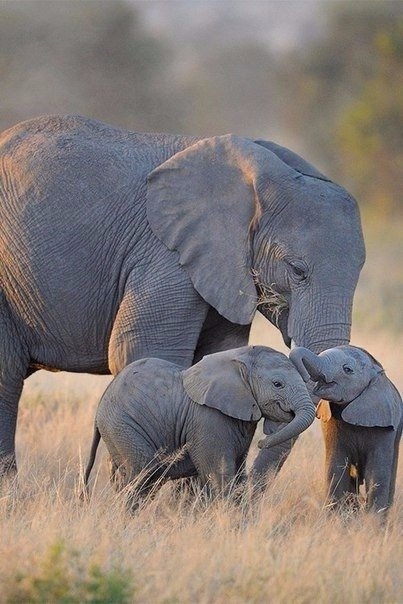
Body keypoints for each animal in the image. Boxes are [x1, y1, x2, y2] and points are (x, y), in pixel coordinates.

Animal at [83, 344, 314, 510]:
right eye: (278, 384)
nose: (262, 442)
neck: (240, 358)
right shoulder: (209, 420)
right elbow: (220, 476)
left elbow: (238, 475)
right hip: (123, 426)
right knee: (143, 475)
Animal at [292, 344, 402, 516]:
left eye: (347, 369)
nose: (304, 377)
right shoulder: (331, 423)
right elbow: (336, 468)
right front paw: (335, 518)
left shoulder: (385, 428)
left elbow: (377, 474)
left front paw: (372, 522)